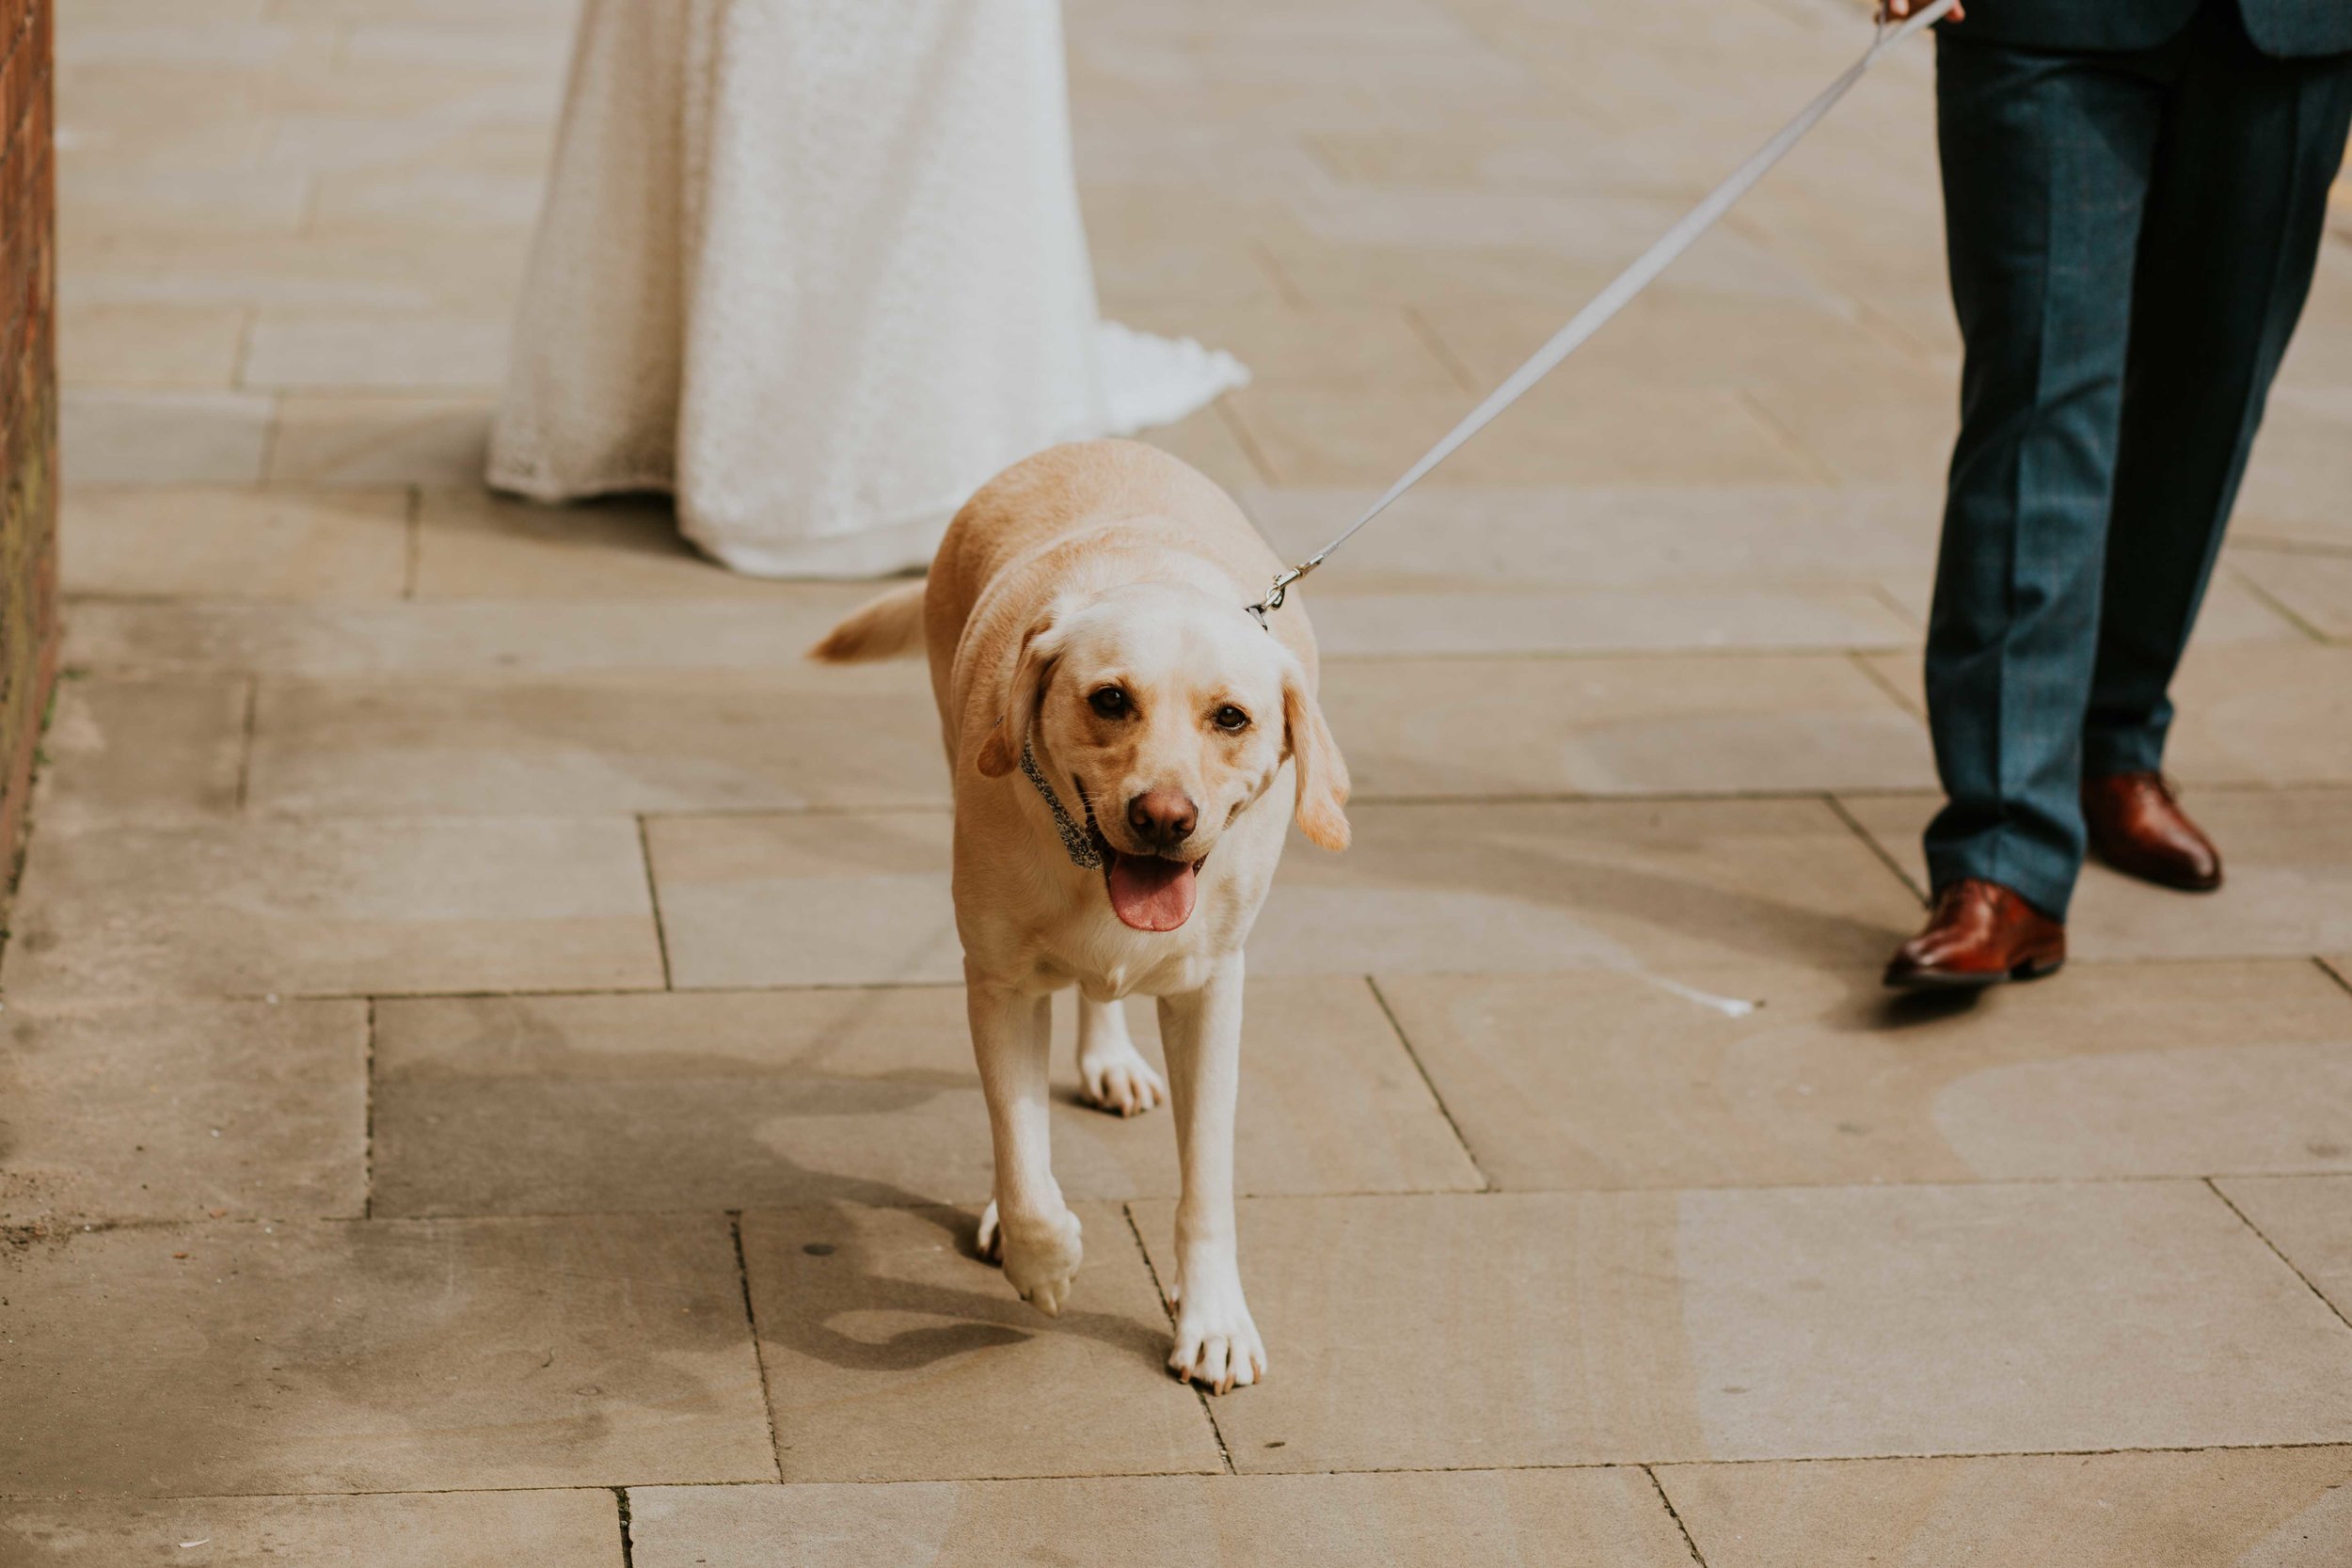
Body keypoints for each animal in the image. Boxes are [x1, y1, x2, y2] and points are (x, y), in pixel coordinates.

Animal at [823, 439, 1355, 1382]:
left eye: (1232, 717)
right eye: (1110, 699)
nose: (1164, 817)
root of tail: (1095, 441)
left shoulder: (1211, 993)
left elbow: (1206, 1179)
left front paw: (1213, 1316)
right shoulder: (998, 983)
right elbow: (1022, 1151)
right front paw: (1041, 1255)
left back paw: (1109, 1056)